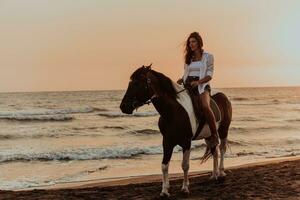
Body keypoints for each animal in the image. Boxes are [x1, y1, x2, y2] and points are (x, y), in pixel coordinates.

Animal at [119, 64, 232, 197]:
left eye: (136, 83)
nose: (123, 107)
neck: (173, 112)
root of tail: (224, 97)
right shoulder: (167, 142)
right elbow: (164, 165)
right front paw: (164, 190)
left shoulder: (186, 142)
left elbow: (185, 165)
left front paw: (185, 188)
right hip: (209, 135)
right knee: (214, 151)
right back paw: (214, 175)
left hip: (224, 130)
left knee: (222, 149)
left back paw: (221, 173)